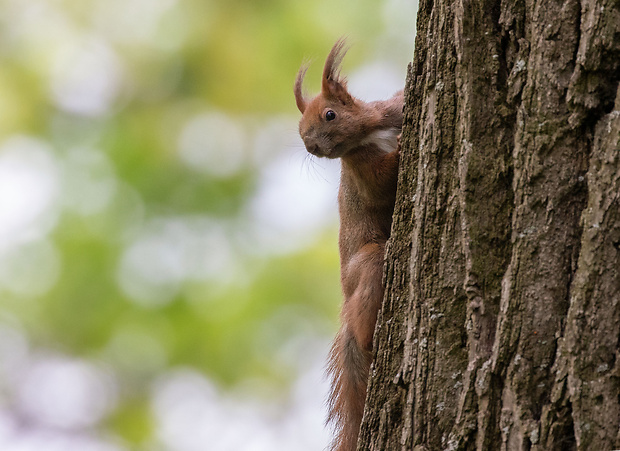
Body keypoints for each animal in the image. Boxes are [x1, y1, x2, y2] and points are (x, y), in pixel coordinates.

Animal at [294, 39, 404, 451]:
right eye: (299, 129)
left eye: (330, 114)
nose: (311, 146)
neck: (373, 132)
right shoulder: (362, 170)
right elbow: (382, 184)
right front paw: (402, 150)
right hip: (367, 263)